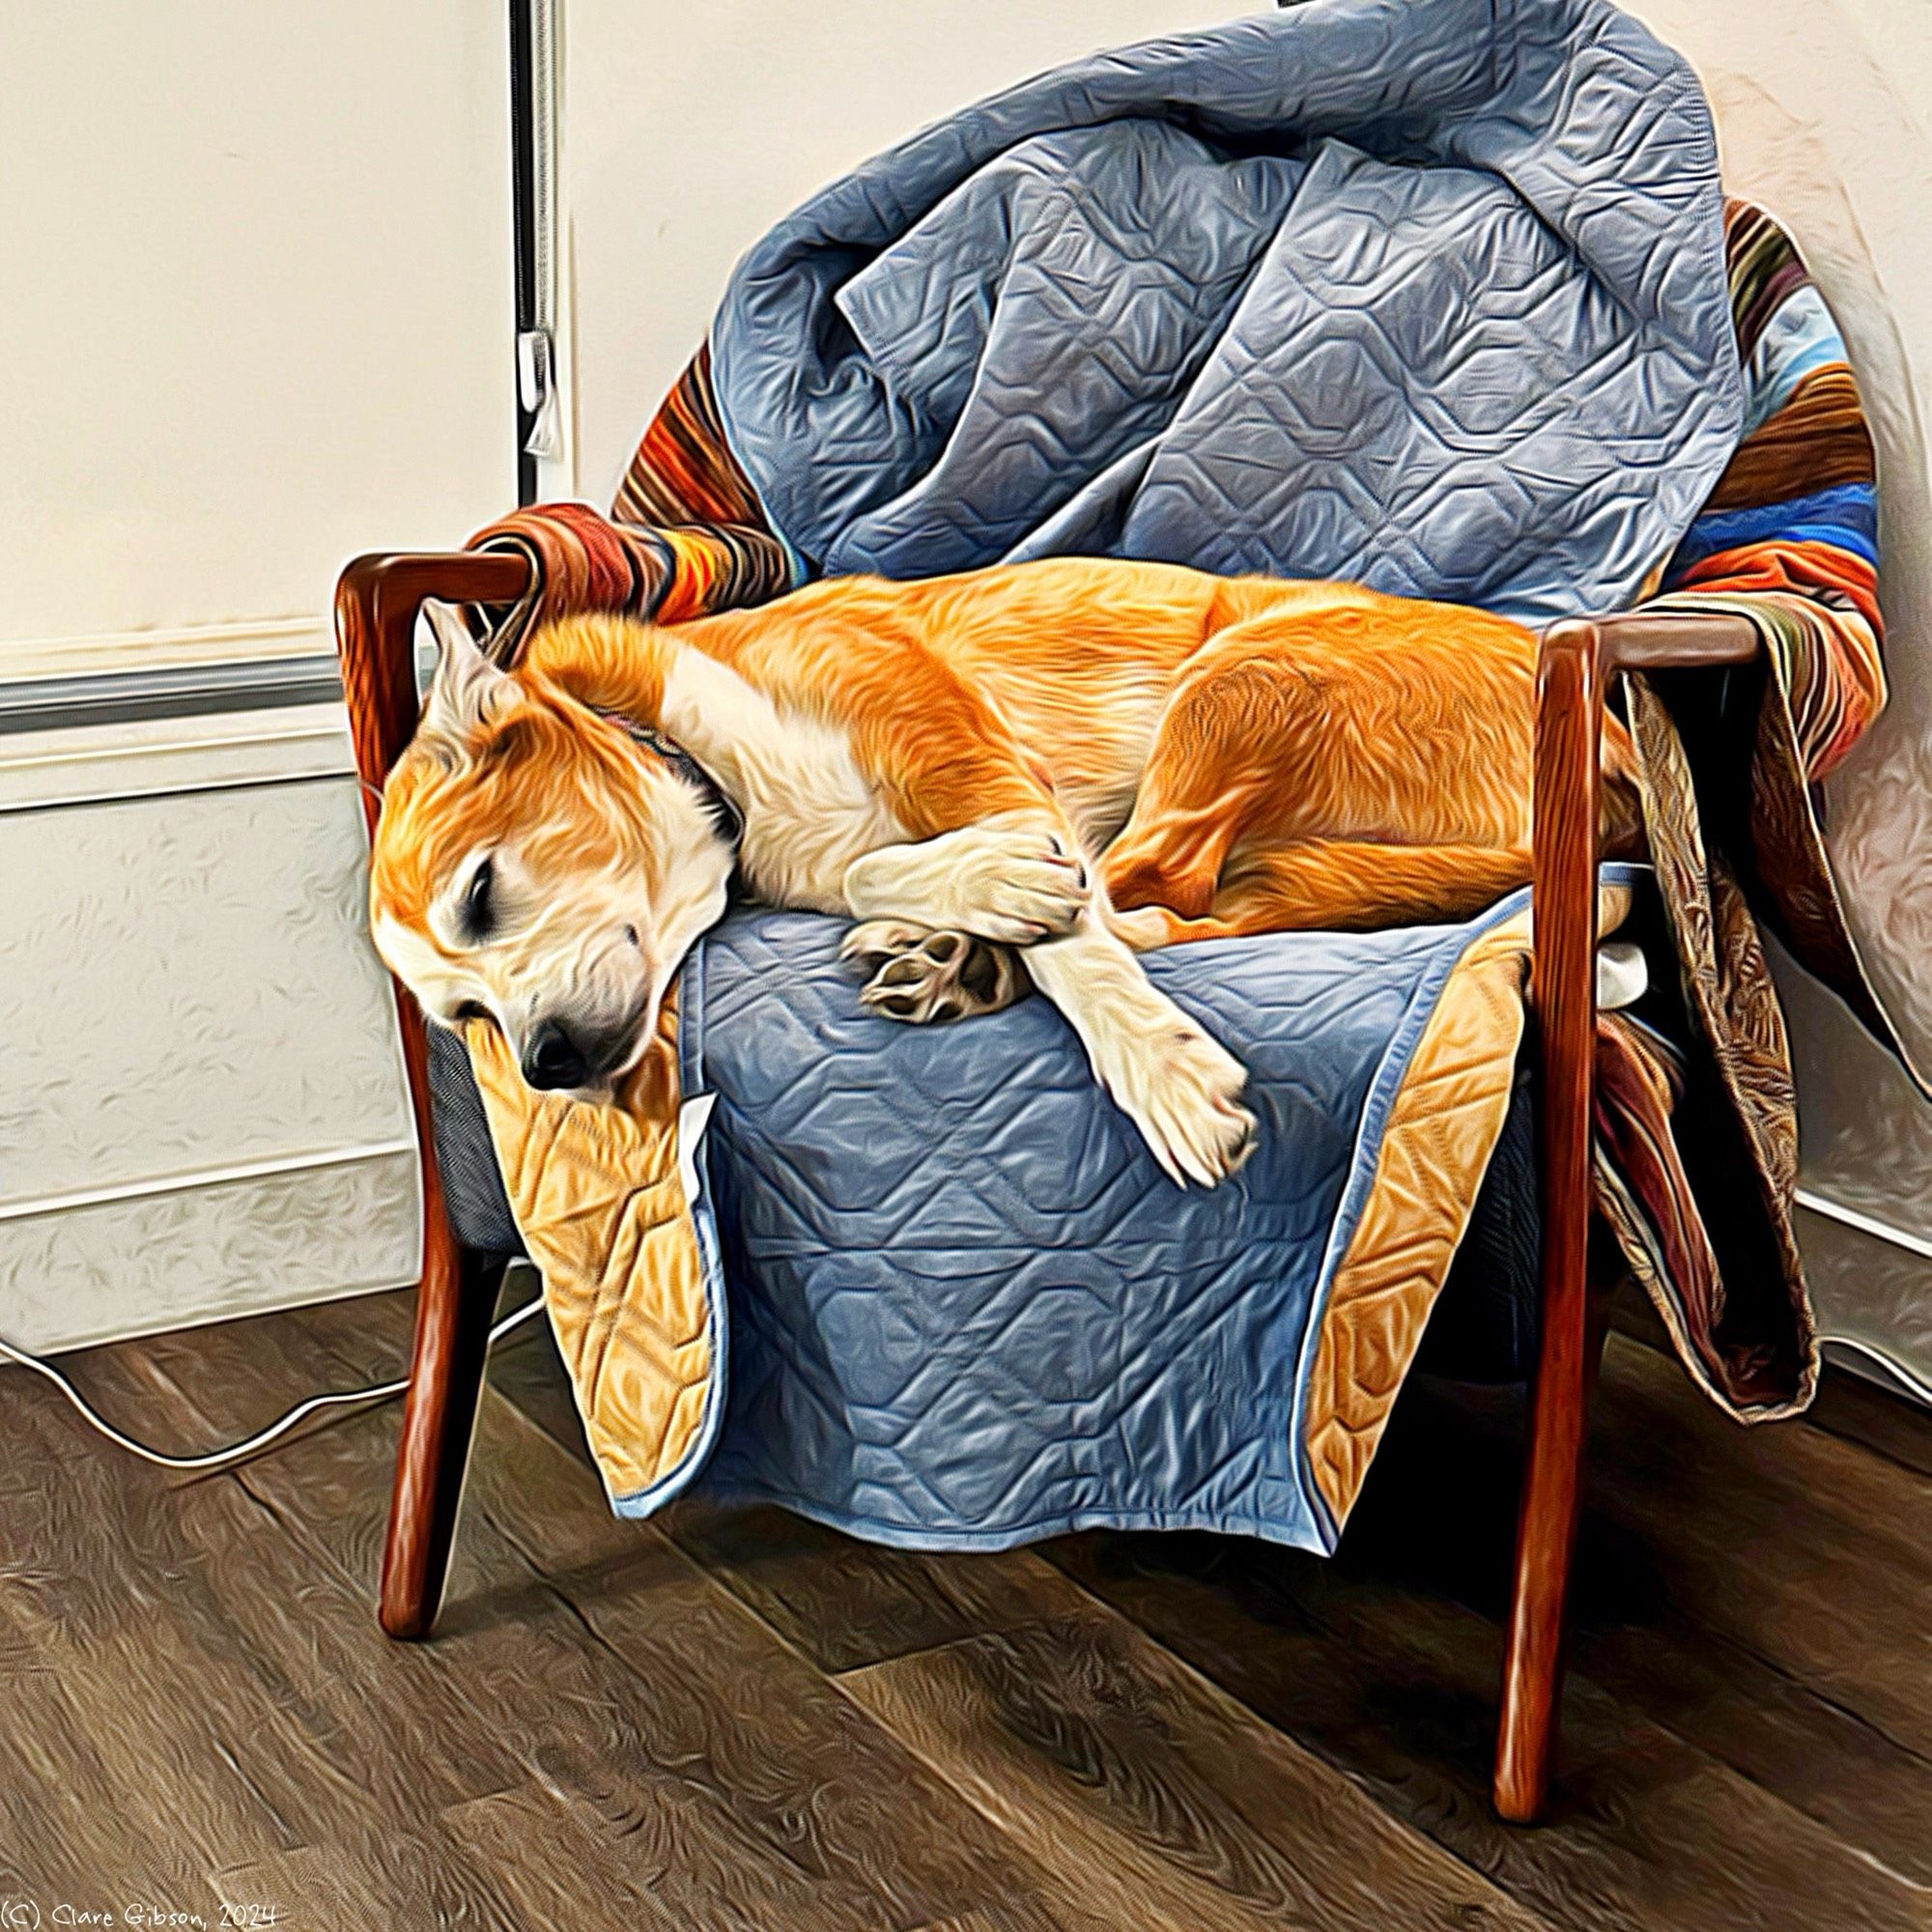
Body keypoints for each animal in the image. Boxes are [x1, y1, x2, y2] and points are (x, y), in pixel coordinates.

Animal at [365, 560, 1631, 1182]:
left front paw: (1162, 1072)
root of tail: (1609, 750)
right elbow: (895, 870)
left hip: (1239, 676)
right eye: (463, 1016)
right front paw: (968, 909)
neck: (711, 767)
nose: (546, 1066)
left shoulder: (971, 761)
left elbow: (1068, 934)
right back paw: (957, 962)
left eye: (481, 891)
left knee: (1154, 893)